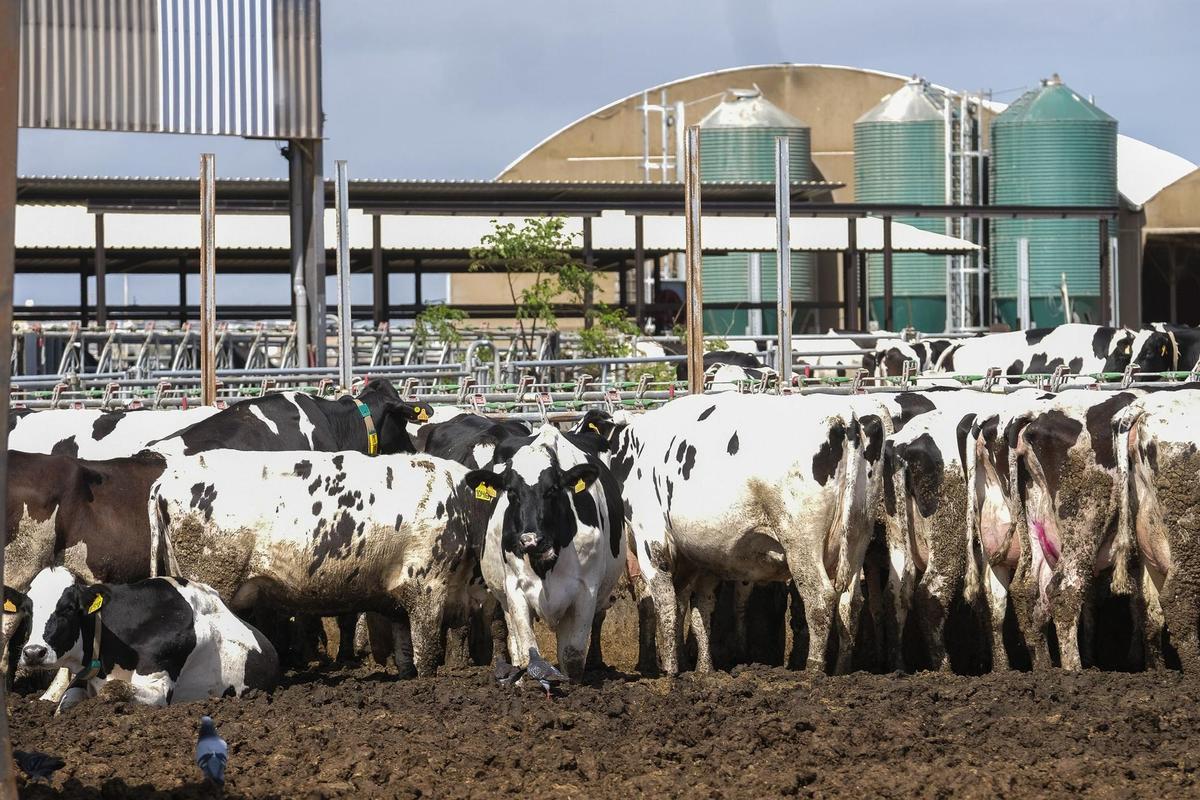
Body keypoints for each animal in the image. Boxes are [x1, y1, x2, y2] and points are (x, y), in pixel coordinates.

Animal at [14, 566, 277, 710]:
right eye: (27, 610)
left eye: (68, 608)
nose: (33, 652)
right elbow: (64, 704)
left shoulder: (158, 689)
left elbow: (113, 691)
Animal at [463, 429, 624, 681]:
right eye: (511, 492)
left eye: (553, 490)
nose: (531, 540)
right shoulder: (516, 588)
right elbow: (528, 649)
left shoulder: (586, 590)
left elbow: (572, 655)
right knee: (514, 639)